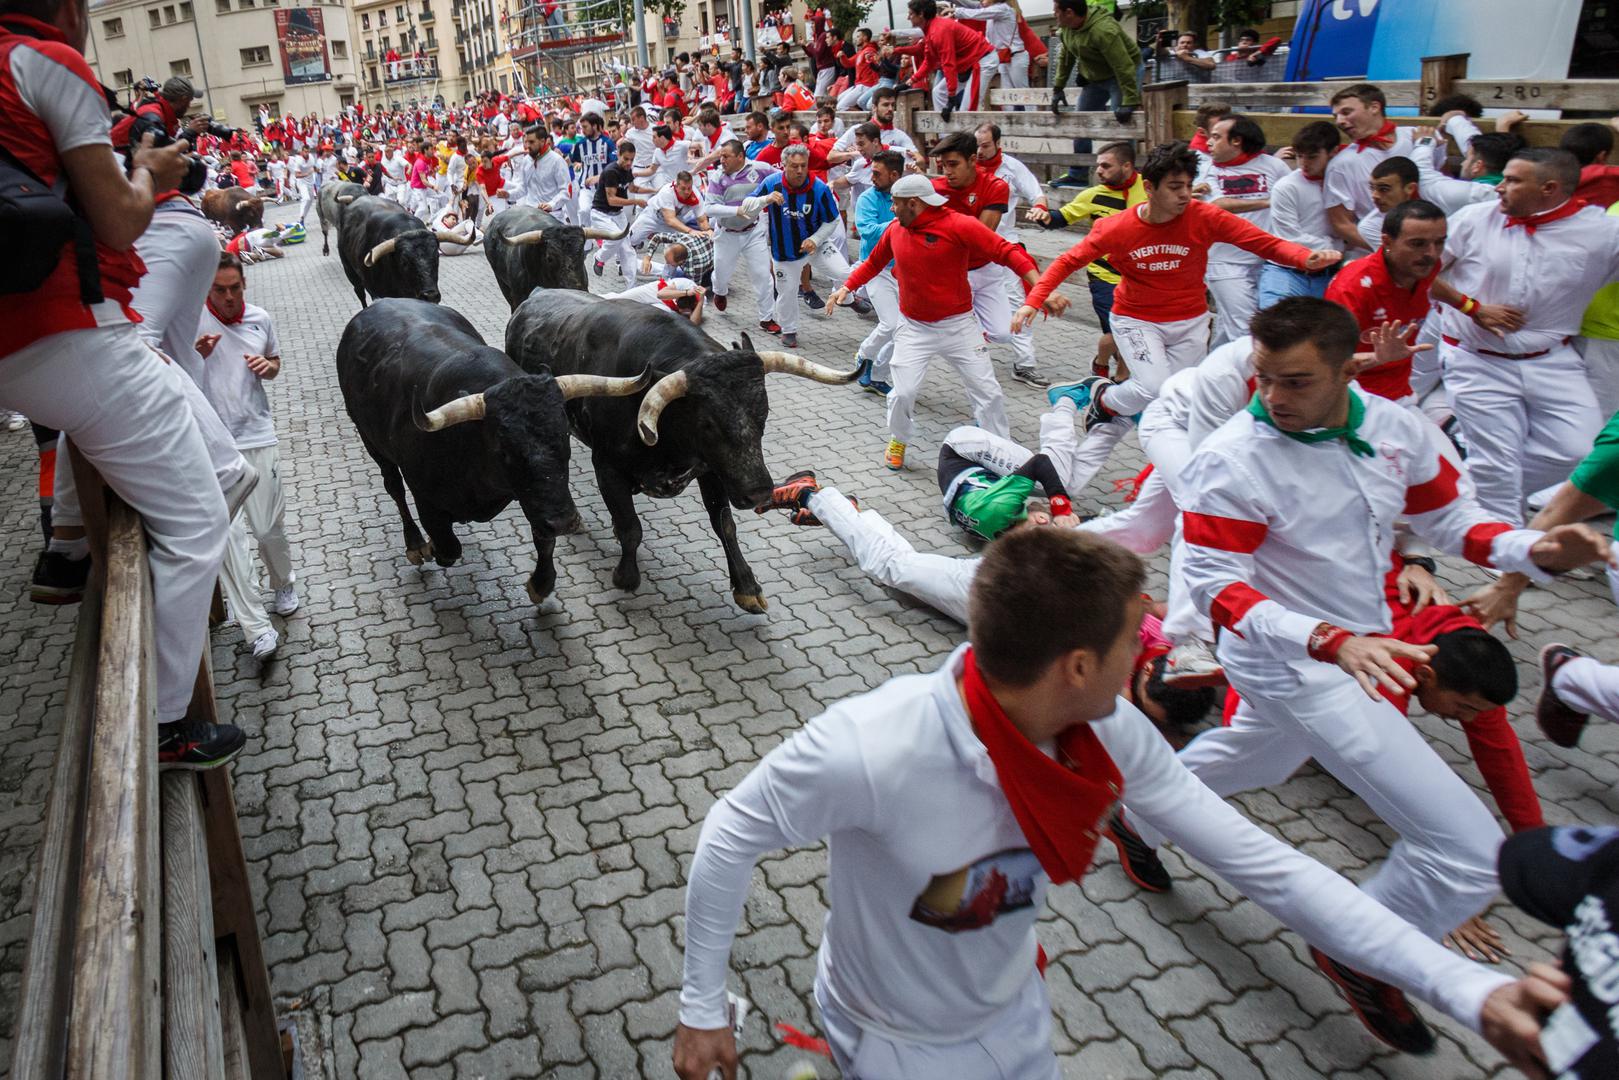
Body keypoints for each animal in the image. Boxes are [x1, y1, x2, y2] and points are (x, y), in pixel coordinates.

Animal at [335, 299, 644, 605]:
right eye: (503, 450)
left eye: (565, 435)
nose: (563, 521)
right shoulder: (424, 495)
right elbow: (448, 547)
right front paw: (432, 545)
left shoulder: (534, 496)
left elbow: (543, 538)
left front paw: (540, 583)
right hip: (371, 441)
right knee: (394, 488)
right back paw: (415, 543)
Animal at [505, 286, 861, 612]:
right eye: (708, 423)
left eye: (763, 413)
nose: (759, 492)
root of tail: (534, 296)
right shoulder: (607, 466)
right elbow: (631, 528)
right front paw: (626, 576)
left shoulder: (713, 470)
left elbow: (725, 524)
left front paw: (747, 587)